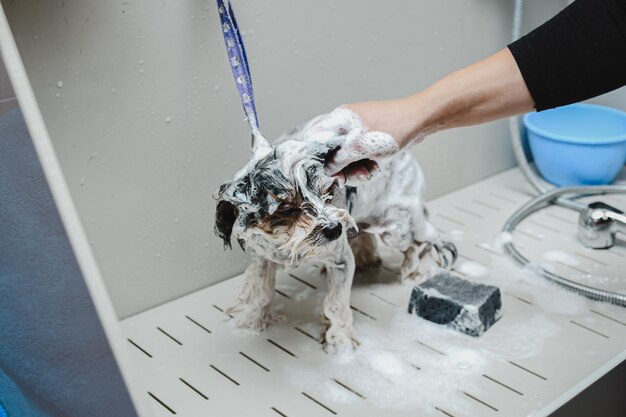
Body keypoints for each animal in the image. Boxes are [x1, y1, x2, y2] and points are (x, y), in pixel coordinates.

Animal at [213, 110, 454, 352]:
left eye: (327, 191)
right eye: (287, 208)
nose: (334, 229)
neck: (284, 244)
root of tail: (406, 156)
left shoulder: (341, 261)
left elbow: (336, 304)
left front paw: (341, 342)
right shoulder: (262, 257)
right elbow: (259, 291)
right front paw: (250, 323)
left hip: (399, 228)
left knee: (425, 241)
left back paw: (419, 273)